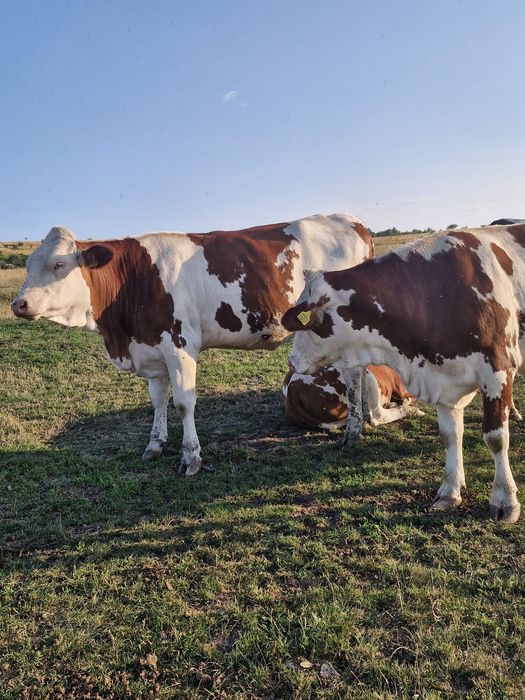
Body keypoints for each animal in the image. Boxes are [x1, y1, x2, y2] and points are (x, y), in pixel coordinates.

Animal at [11, 213, 373, 475]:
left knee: (353, 374)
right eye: (27, 265)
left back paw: (353, 432)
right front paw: (155, 445)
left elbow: (183, 403)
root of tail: (351, 219)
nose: (18, 304)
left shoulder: (179, 345)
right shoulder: (151, 347)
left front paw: (191, 458)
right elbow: (158, 401)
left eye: (58, 264)